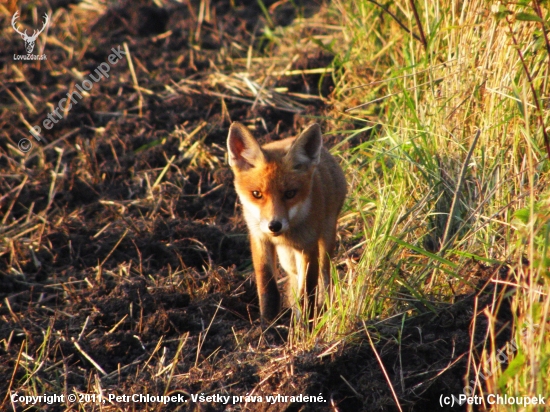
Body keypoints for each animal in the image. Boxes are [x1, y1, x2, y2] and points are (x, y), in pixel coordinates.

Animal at [226, 122, 348, 322]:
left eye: (290, 194)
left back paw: (322, 310)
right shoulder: (260, 239)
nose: (274, 225)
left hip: (326, 240)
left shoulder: (308, 246)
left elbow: (308, 291)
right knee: (294, 279)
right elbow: (267, 288)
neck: (285, 235)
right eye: (257, 194)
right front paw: (267, 324)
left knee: (324, 277)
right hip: (288, 258)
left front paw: (306, 324)